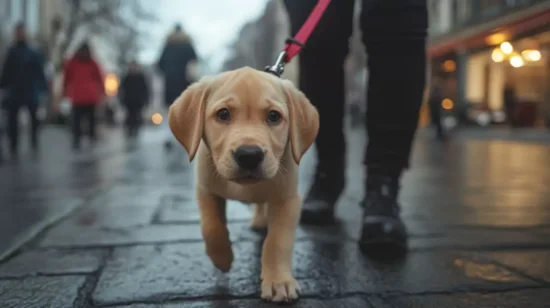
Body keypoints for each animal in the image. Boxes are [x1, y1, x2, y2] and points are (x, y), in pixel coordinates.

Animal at [170, 67, 322, 300]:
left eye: (273, 116)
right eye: (223, 114)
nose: (249, 155)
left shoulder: (287, 199)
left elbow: (278, 240)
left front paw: (279, 281)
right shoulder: (205, 190)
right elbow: (211, 227)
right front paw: (222, 258)